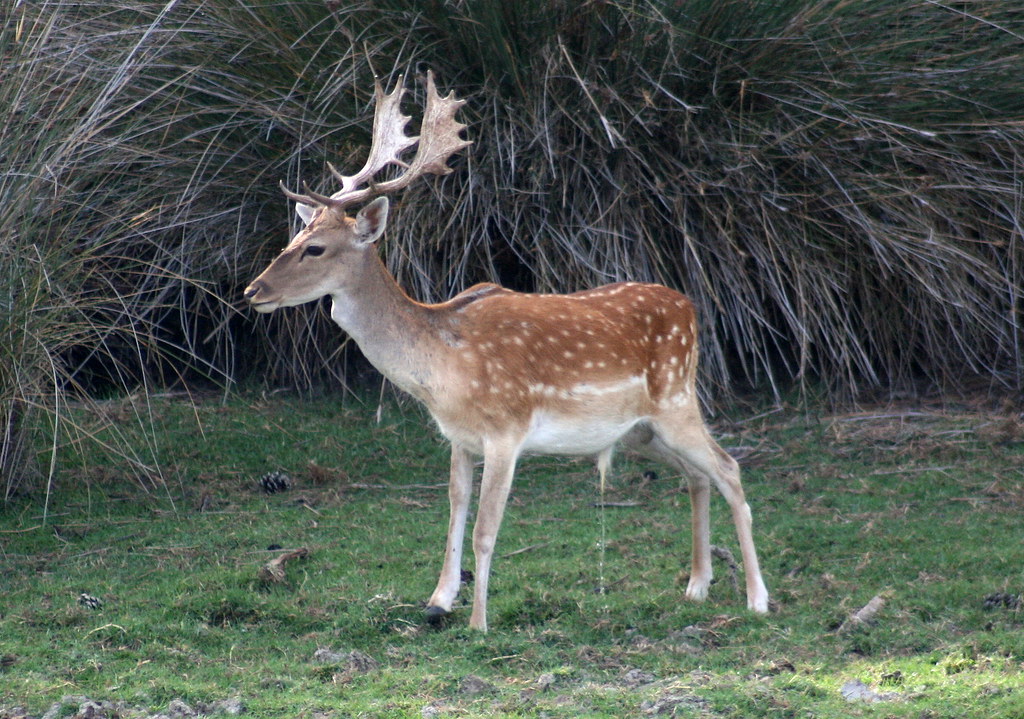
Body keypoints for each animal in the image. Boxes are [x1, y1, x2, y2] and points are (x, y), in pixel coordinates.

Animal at [241, 71, 770, 630]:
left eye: (315, 248)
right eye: (294, 236)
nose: (253, 291)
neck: (441, 368)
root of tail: (690, 307)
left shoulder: (506, 431)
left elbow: (485, 529)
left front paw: (478, 622)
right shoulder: (458, 437)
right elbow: (454, 512)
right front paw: (438, 600)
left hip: (675, 400)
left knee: (729, 469)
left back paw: (757, 598)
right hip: (639, 431)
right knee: (697, 476)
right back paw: (696, 587)